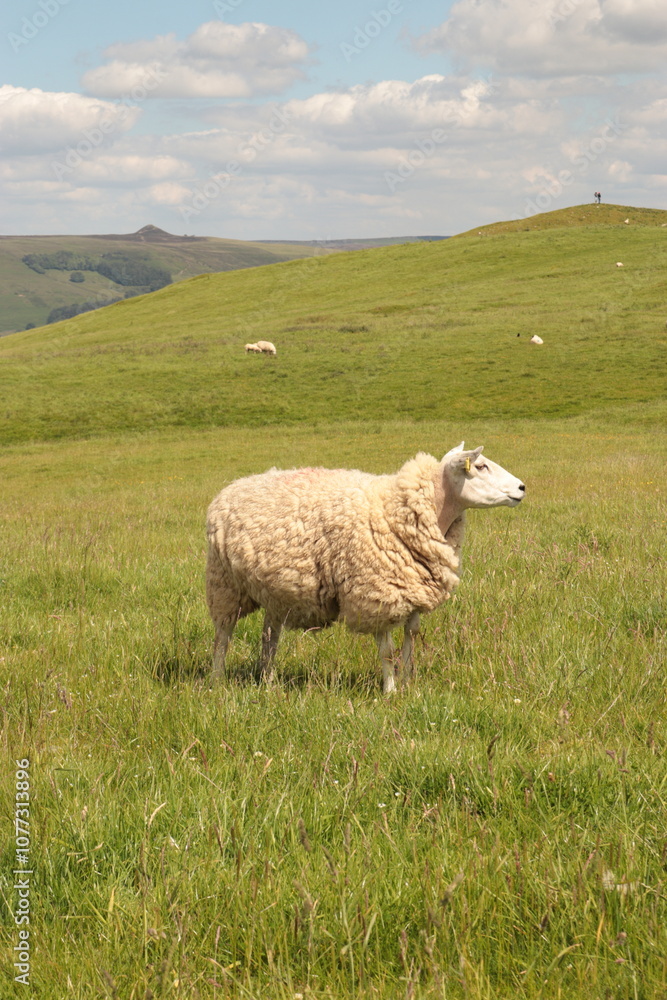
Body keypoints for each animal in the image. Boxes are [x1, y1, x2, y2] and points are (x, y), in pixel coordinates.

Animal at [206, 443, 525, 694]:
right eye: (480, 466)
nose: (522, 487)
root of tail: (232, 486)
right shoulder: (377, 594)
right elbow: (387, 651)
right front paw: (391, 692)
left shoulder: (413, 590)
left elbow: (410, 641)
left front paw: (407, 683)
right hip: (224, 583)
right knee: (223, 635)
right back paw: (218, 679)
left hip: (275, 590)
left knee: (269, 636)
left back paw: (269, 680)